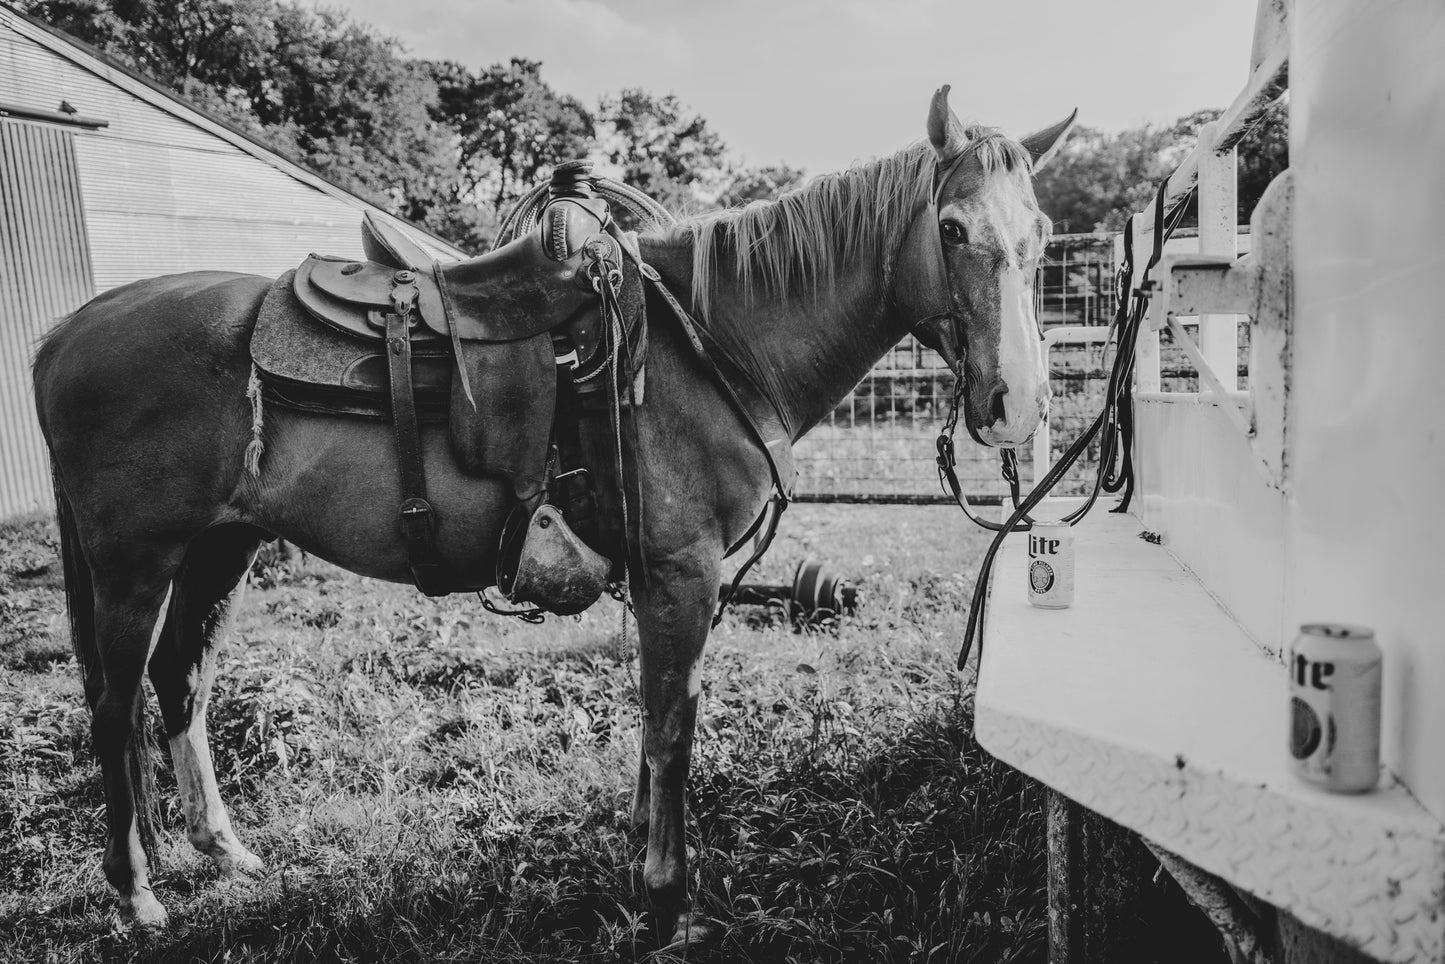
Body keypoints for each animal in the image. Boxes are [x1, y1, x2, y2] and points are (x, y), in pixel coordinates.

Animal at [31, 86, 1073, 943]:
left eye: (1042, 233)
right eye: (951, 228)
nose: (1015, 403)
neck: (712, 346)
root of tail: (64, 332)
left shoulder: (660, 579)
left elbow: (656, 720)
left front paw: (642, 861)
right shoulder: (682, 574)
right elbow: (673, 722)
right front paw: (666, 903)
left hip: (222, 547)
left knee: (182, 681)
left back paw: (222, 850)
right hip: (135, 565)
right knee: (114, 702)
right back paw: (136, 892)